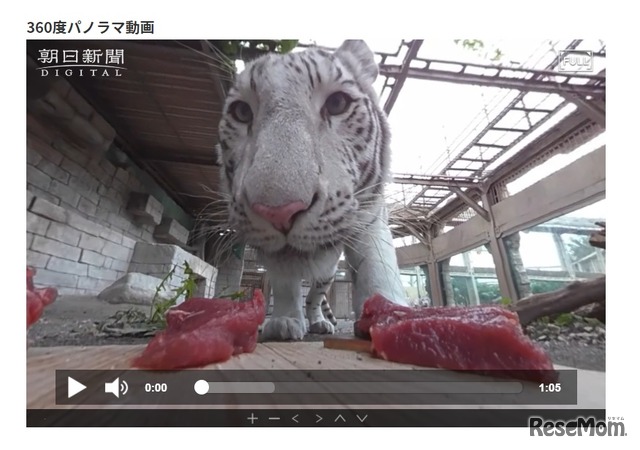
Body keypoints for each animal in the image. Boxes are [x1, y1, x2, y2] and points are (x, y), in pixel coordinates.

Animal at [218, 40, 410, 342]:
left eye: (337, 103)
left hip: (327, 273)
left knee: (315, 297)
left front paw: (390, 315)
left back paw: (319, 322)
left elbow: (378, 267)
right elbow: (285, 286)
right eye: (242, 112)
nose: (279, 212)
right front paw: (284, 321)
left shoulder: (370, 218)